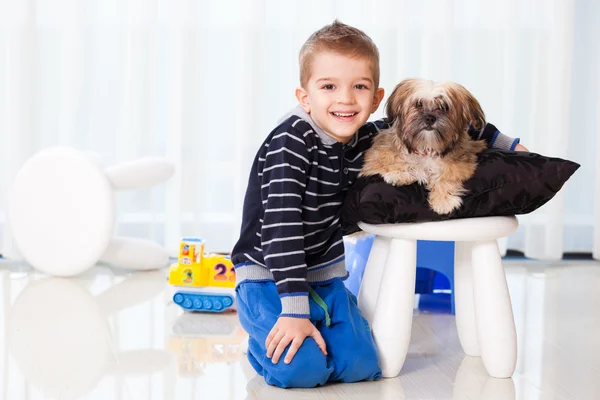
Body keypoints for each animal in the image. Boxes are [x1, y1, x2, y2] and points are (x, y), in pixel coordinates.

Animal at [360, 79, 488, 216]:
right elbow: (386, 163)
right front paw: (398, 174)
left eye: (444, 107)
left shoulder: (461, 162)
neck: (426, 147)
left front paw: (443, 200)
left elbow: (447, 175)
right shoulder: (375, 157)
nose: (430, 118)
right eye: (419, 104)